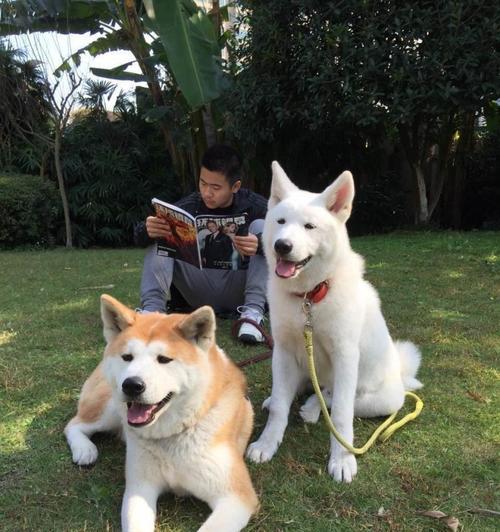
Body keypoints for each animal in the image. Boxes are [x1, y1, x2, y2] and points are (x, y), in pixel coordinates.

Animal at [65, 296, 258, 532]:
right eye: (127, 357)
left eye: (164, 359)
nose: (131, 385)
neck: (172, 436)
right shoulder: (139, 487)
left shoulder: (236, 497)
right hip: (109, 408)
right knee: (74, 424)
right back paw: (84, 449)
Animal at [247, 162, 422, 482]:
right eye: (280, 221)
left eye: (309, 226)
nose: (282, 246)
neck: (309, 297)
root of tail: (401, 374)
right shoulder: (283, 351)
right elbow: (279, 407)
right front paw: (267, 443)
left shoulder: (345, 356)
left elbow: (340, 414)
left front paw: (342, 460)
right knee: (296, 391)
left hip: (378, 399)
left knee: (333, 398)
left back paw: (313, 407)